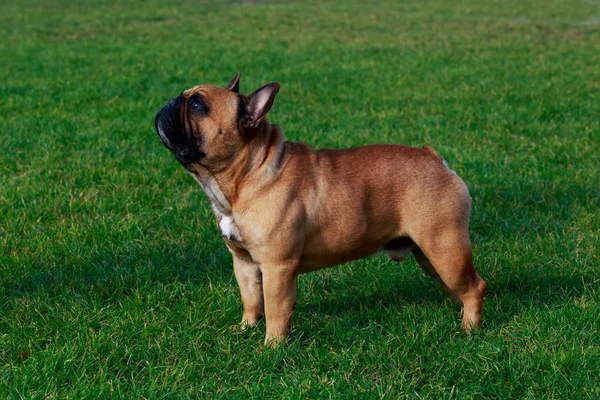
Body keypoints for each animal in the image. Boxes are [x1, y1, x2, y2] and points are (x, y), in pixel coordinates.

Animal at [155, 73, 488, 346]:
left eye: (197, 105)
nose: (170, 101)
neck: (248, 175)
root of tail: (435, 159)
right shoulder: (244, 263)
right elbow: (250, 299)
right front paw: (246, 329)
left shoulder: (277, 267)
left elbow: (275, 309)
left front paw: (271, 347)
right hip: (431, 254)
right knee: (455, 287)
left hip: (444, 247)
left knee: (474, 286)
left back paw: (469, 329)